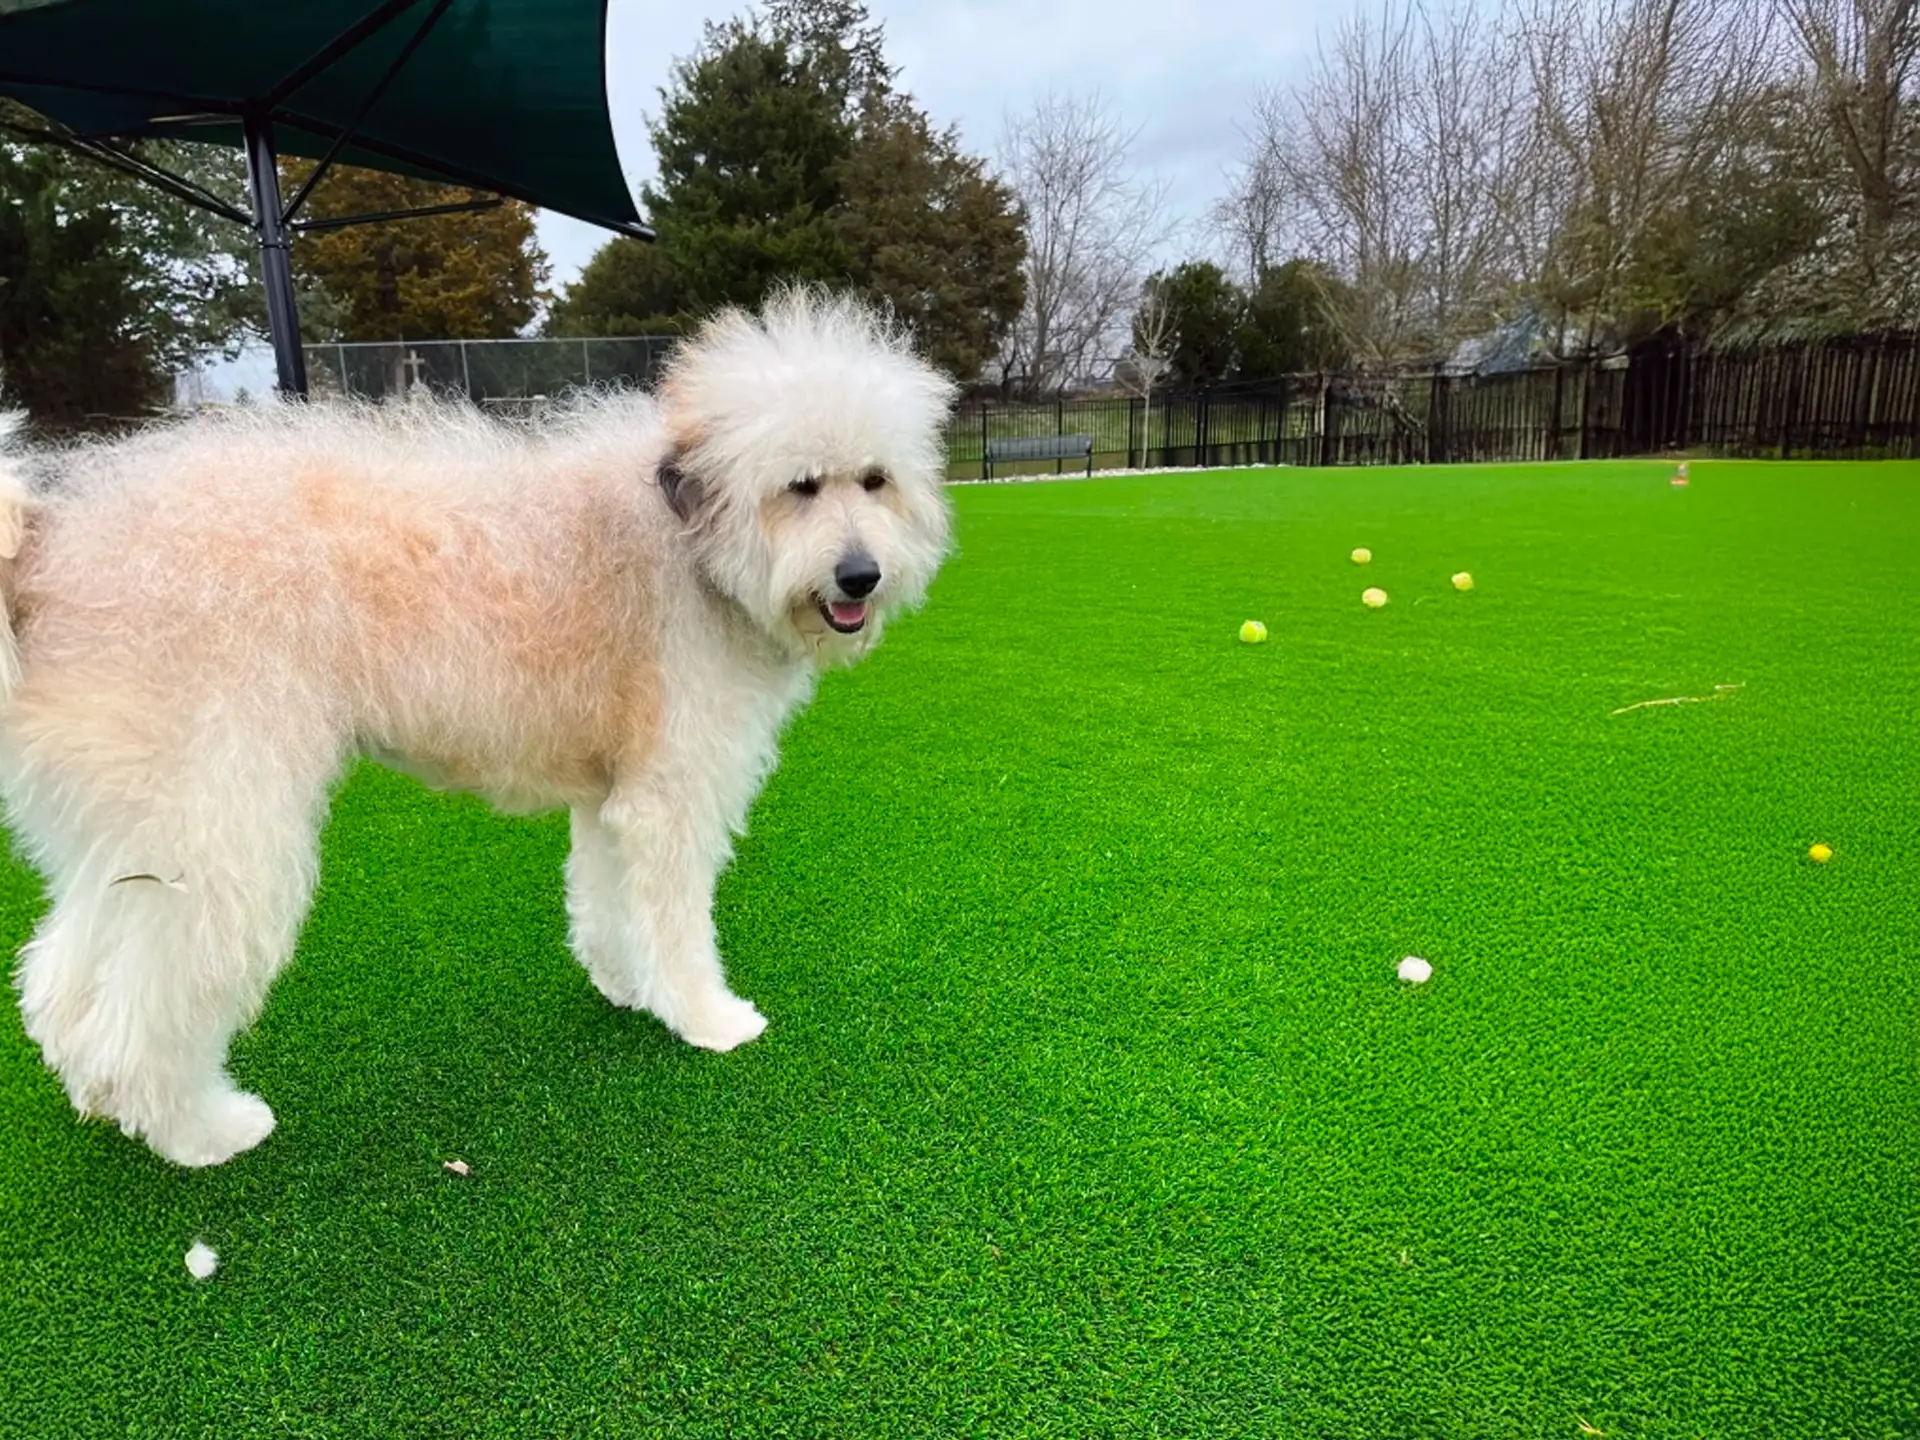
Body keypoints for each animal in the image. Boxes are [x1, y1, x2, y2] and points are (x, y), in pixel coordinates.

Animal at [0, 284, 960, 1175]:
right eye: (800, 487)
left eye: (875, 480)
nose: (861, 576)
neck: (691, 545)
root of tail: (49, 538)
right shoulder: (674, 794)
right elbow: (678, 923)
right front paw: (706, 1018)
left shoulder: (617, 793)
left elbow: (607, 899)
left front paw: (625, 984)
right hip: (221, 828)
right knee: (144, 1010)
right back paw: (199, 1130)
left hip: (143, 829)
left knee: (63, 978)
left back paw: (97, 1094)